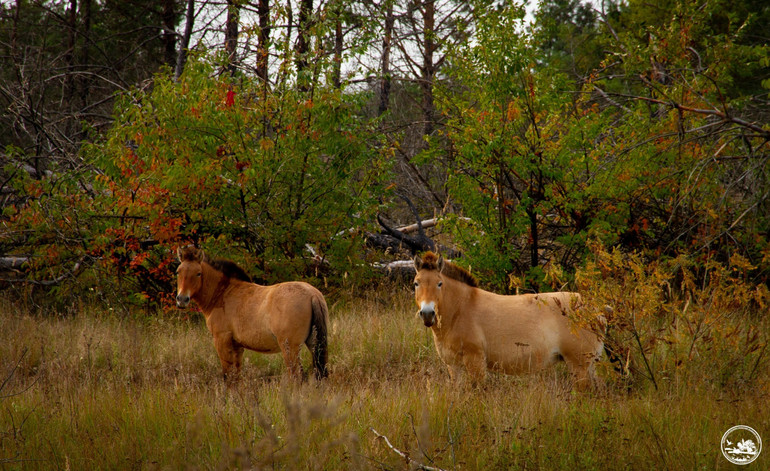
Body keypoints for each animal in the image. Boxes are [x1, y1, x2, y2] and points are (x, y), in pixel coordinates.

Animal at [176, 247, 328, 384]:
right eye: (178, 271)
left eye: (198, 273)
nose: (182, 299)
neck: (224, 293)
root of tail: (313, 294)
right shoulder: (237, 347)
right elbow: (235, 377)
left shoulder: (221, 341)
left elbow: (227, 376)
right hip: (313, 344)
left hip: (290, 348)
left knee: (297, 376)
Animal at [412, 253, 604, 390]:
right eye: (416, 283)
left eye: (439, 283)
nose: (428, 313)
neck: (460, 309)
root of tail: (595, 309)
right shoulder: (453, 365)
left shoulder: (476, 362)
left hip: (579, 365)